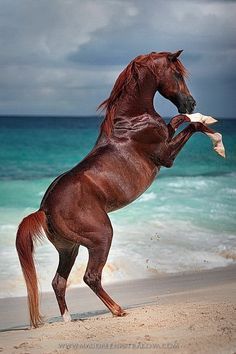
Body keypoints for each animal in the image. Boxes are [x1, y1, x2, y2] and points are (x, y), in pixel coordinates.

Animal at [15, 49, 225, 326]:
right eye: (177, 74)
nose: (191, 102)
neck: (132, 121)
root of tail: (44, 209)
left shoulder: (168, 140)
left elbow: (179, 120)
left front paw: (203, 119)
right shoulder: (166, 156)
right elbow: (191, 125)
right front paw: (217, 141)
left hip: (69, 248)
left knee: (58, 281)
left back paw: (69, 320)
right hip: (101, 237)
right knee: (90, 277)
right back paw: (117, 309)